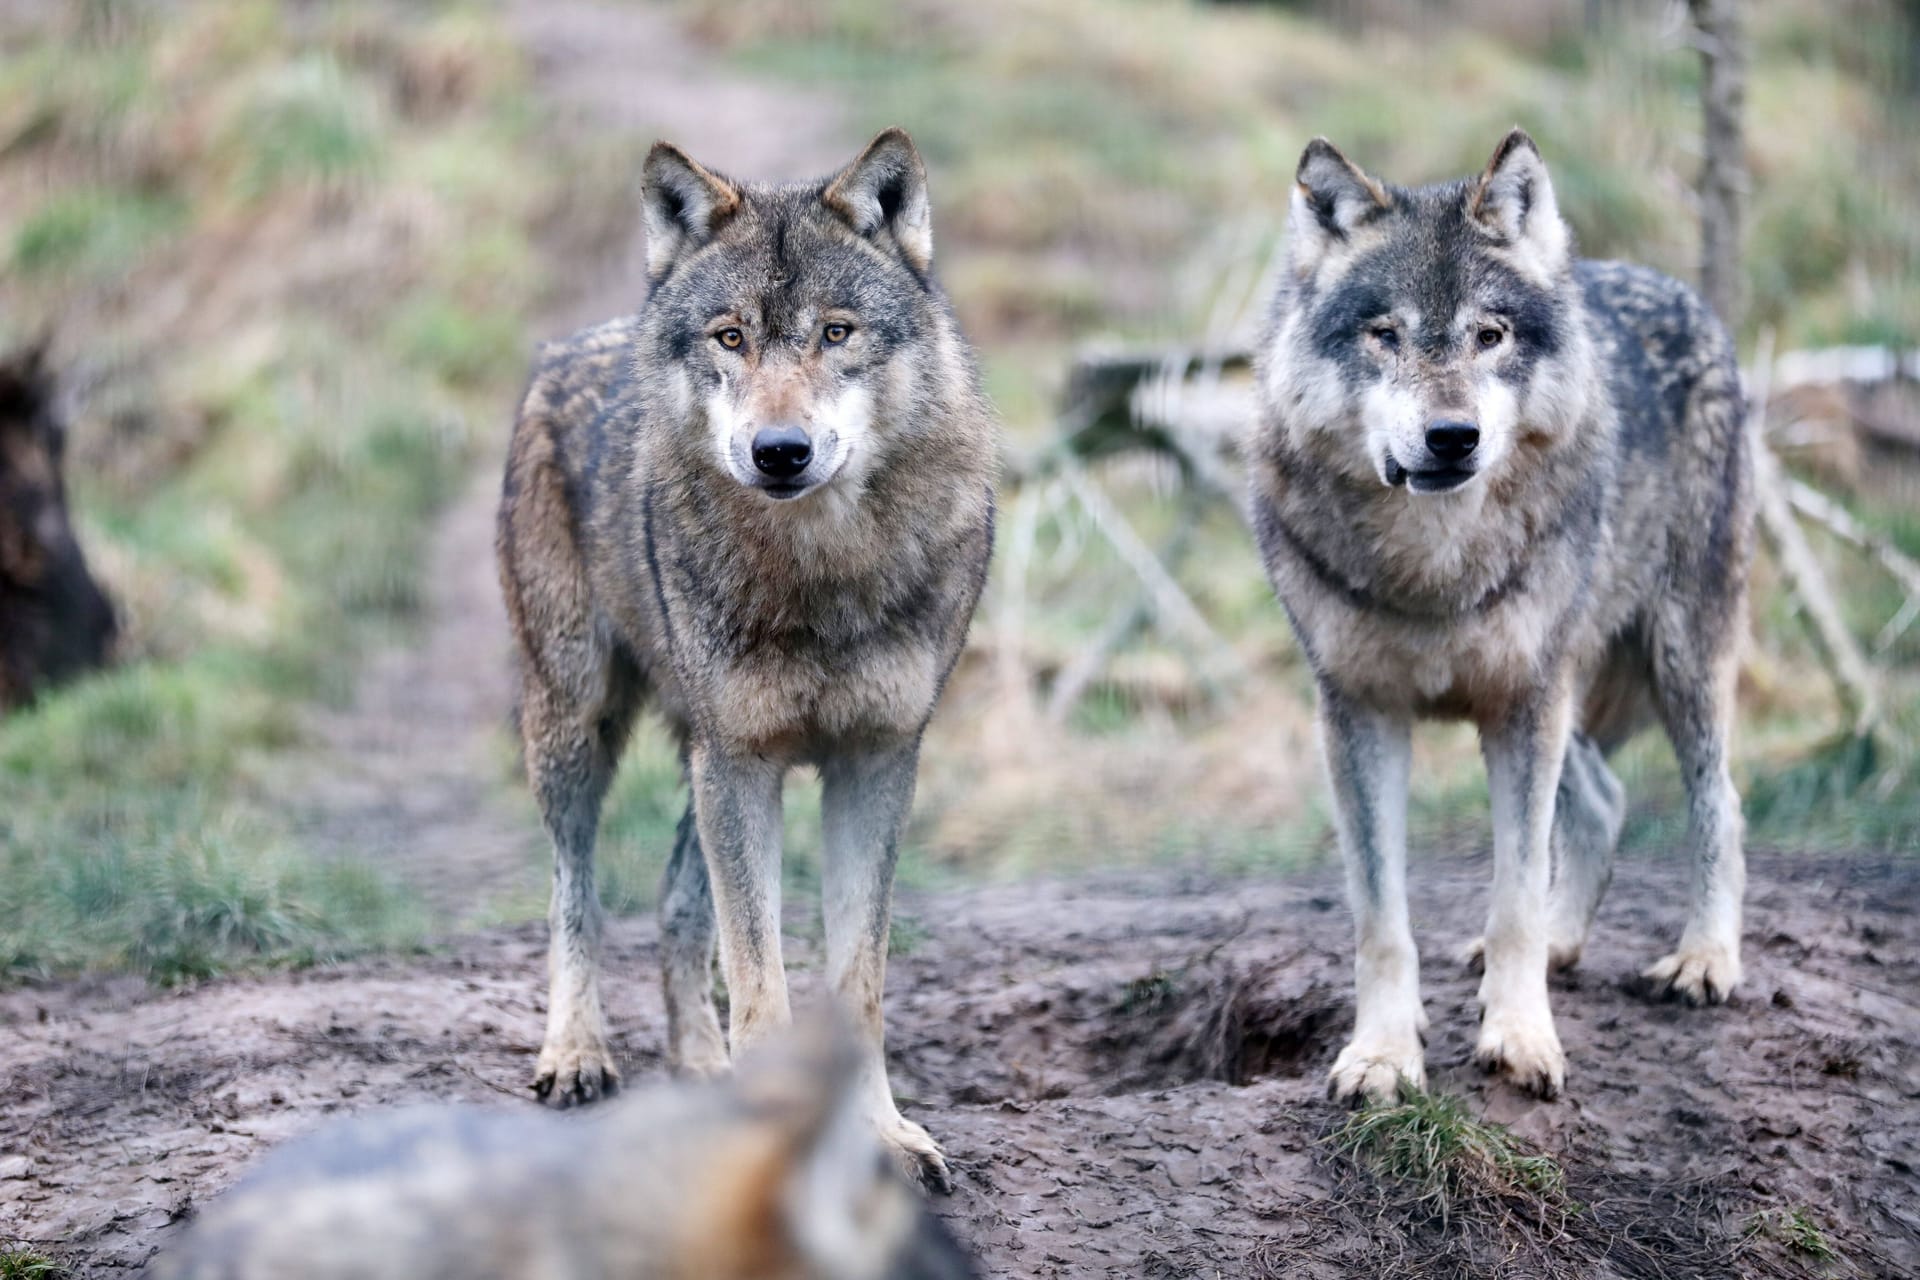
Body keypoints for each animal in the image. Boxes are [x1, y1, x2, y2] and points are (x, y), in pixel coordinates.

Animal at [496, 128, 995, 1187]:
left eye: (837, 334)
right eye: (730, 339)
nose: (780, 451)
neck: (821, 573)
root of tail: (573, 344)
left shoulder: (874, 763)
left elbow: (855, 986)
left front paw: (884, 1135)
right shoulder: (744, 762)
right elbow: (763, 985)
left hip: (698, 752)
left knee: (676, 907)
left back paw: (700, 1069)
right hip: (579, 728)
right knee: (575, 894)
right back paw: (577, 1054)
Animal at [1247, 129, 1754, 1101]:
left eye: (1490, 335)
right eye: (1386, 335)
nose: (1453, 438)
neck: (1434, 570)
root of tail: (1677, 291)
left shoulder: (1525, 702)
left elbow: (1514, 894)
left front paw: (1520, 1039)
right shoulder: (1360, 712)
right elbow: (1381, 920)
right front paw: (1382, 1054)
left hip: (1677, 654)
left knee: (1720, 801)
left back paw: (1704, 960)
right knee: (1603, 802)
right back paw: (1564, 945)